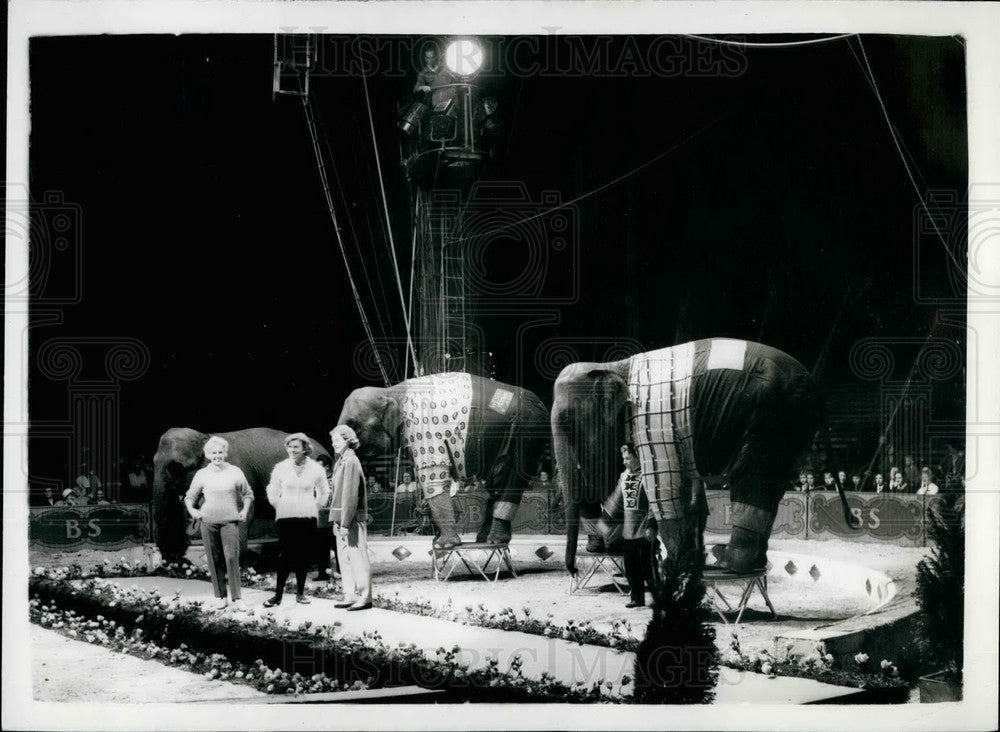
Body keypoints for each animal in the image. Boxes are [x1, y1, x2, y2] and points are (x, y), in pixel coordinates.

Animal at [340, 374, 552, 548]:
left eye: (353, 426)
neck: (391, 391)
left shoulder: (423, 428)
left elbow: (433, 474)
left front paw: (444, 545)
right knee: (496, 478)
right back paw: (485, 540)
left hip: (529, 430)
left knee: (513, 477)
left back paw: (494, 540)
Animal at [552, 340, 848, 576]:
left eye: (567, 423)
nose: (574, 569)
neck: (613, 365)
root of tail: (817, 391)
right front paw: (686, 560)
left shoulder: (651, 421)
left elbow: (662, 489)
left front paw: (675, 566)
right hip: (792, 425)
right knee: (771, 484)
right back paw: (748, 563)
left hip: (775, 418)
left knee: (753, 477)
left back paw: (728, 562)